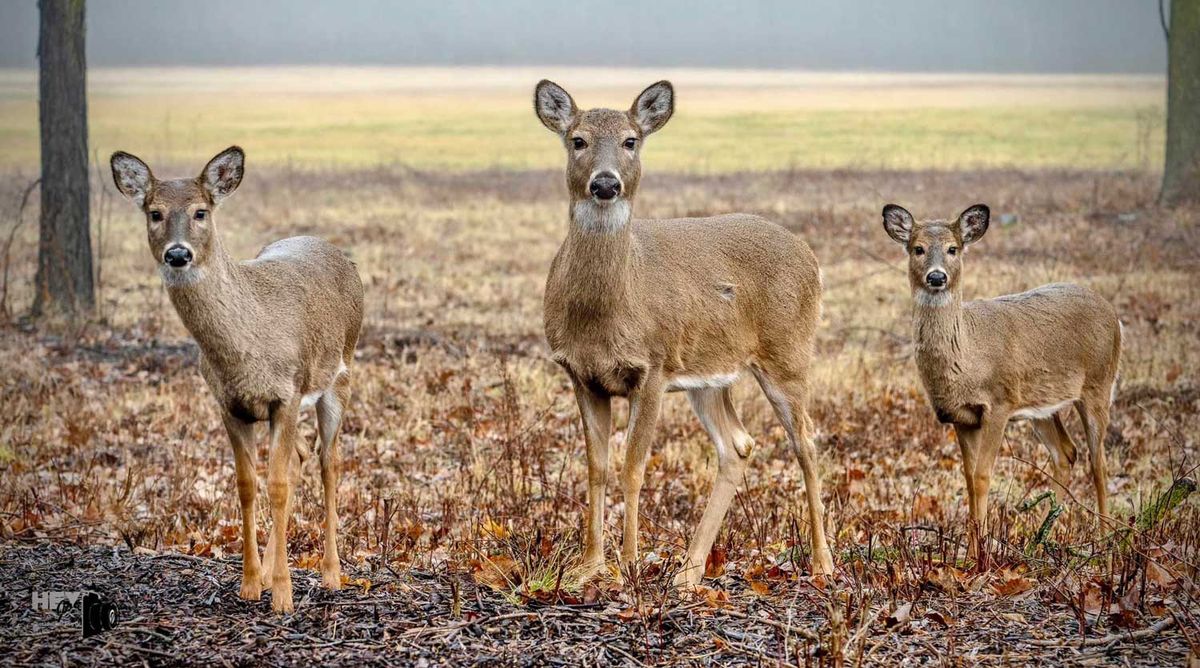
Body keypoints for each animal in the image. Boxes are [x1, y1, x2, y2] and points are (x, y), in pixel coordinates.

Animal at [110, 145, 362, 609]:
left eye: (201, 211)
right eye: (154, 212)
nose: (178, 254)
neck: (246, 349)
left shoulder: (286, 394)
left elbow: (276, 485)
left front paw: (282, 595)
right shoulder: (230, 405)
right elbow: (247, 485)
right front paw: (250, 583)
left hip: (338, 378)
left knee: (329, 462)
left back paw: (332, 574)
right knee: (302, 456)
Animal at [537, 80, 835, 585]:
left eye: (631, 140)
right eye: (577, 140)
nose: (605, 184)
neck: (604, 315)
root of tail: (811, 258)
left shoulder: (653, 367)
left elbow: (633, 468)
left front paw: (629, 565)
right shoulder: (580, 374)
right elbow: (596, 468)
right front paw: (589, 566)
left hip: (789, 353)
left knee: (807, 441)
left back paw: (823, 563)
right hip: (710, 376)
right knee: (738, 445)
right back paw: (689, 571)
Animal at [883, 203, 1123, 563]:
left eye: (953, 249)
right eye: (918, 248)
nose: (937, 277)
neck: (968, 354)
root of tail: (1114, 314)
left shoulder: (999, 402)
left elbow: (983, 477)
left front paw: (980, 556)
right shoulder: (962, 417)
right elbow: (968, 479)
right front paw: (970, 552)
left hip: (1098, 383)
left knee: (1100, 463)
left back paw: (1105, 539)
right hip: (1042, 405)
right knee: (1066, 453)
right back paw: (1044, 536)